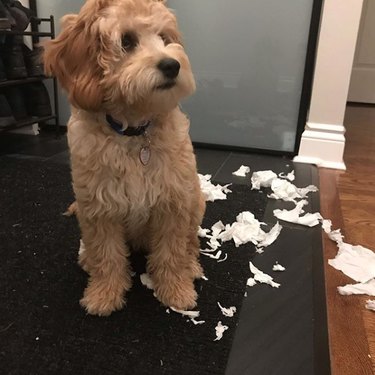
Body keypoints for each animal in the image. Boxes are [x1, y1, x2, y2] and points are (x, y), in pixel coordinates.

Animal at [43, 0, 206, 318]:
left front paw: (176, 292)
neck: (134, 133)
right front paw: (104, 295)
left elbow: (171, 251)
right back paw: (87, 259)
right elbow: (107, 255)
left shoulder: (173, 203)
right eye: (127, 41)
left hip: (195, 199)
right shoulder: (98, 209)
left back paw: (191, 266)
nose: (172, 65)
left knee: (189, 242)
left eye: (164, 38)